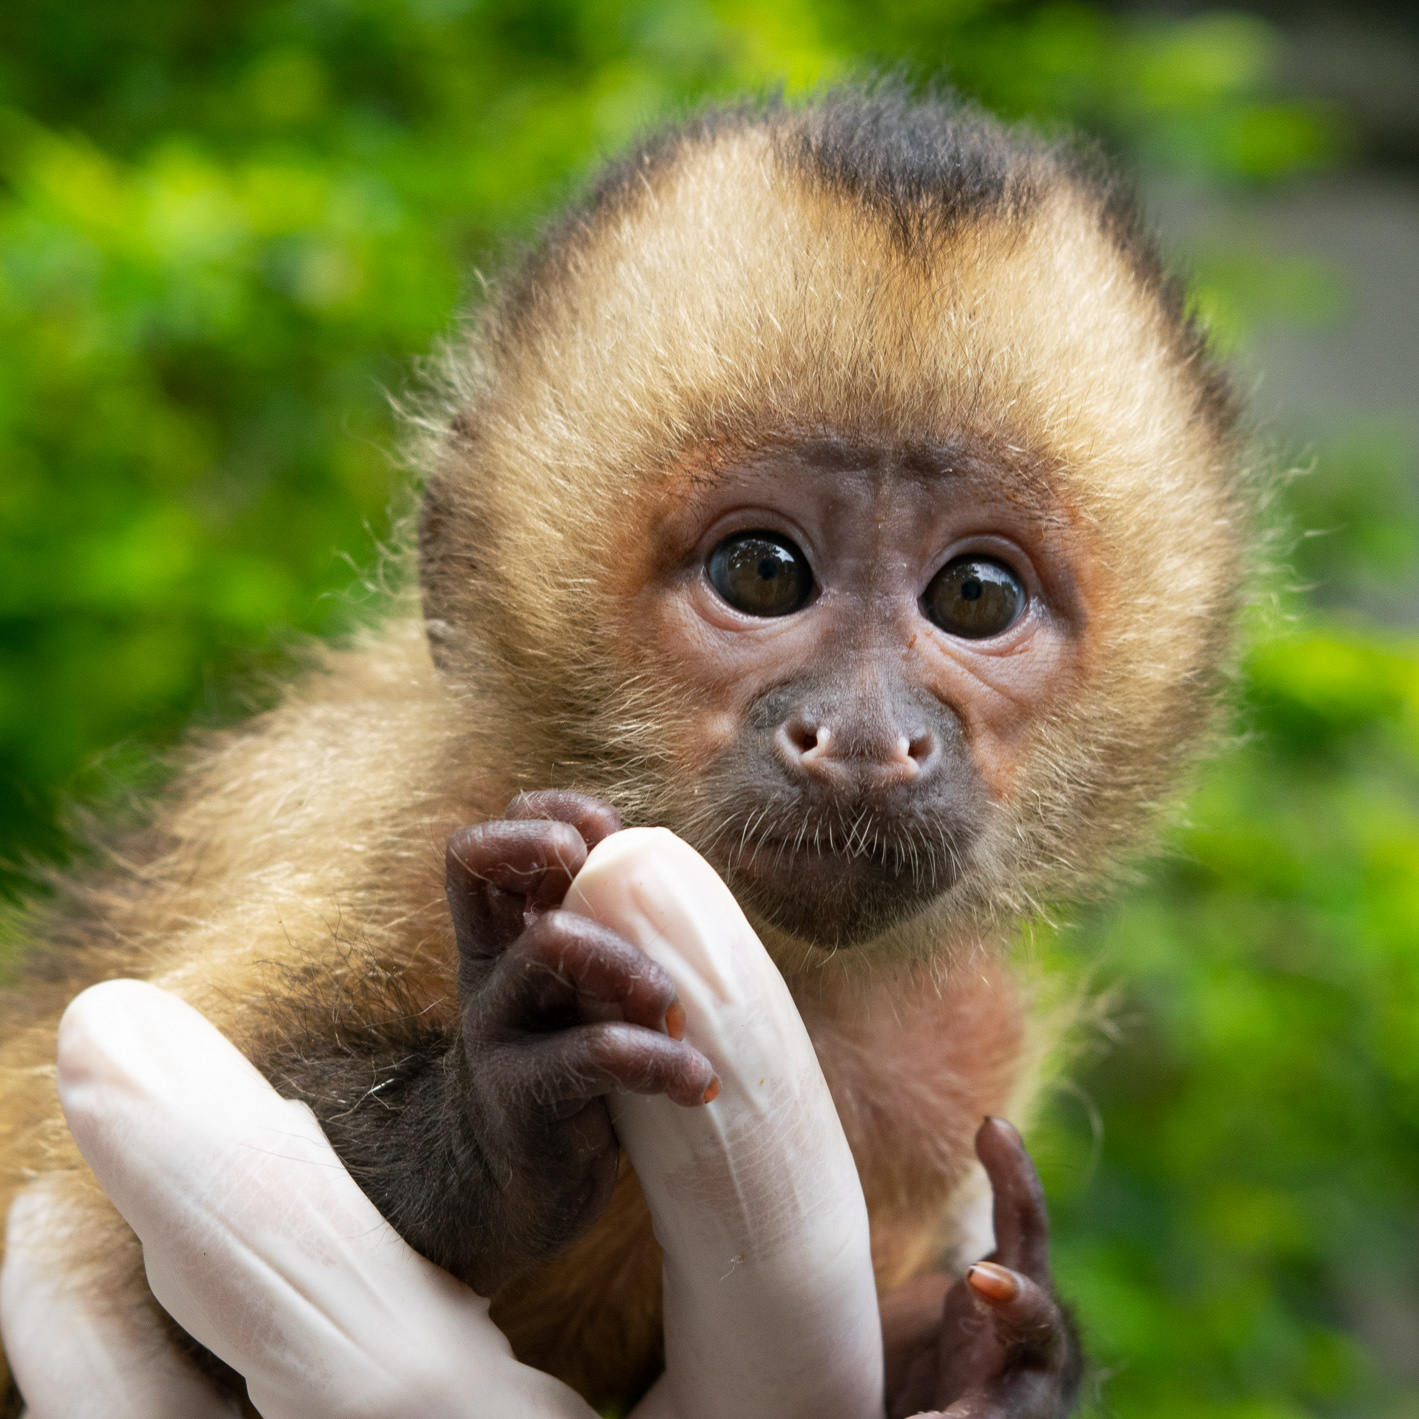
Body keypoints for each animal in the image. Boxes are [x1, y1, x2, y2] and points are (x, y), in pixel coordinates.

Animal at [0, 85, 1243, 1419]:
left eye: (975, 594)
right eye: (762, 573)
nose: (865, 738)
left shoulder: (963, 1049)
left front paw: (995, 1356)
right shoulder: (392, 816)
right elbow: (142, 1249)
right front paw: (496, 1113)